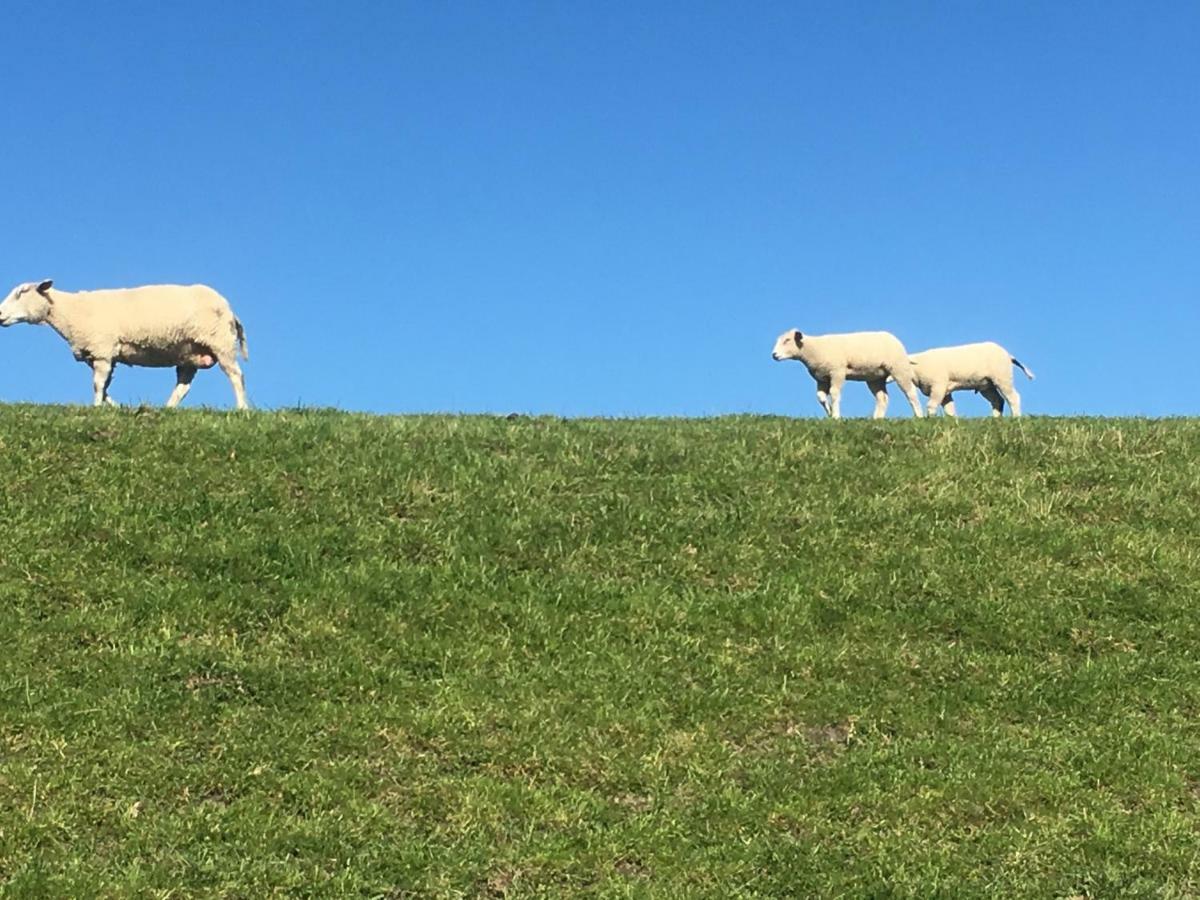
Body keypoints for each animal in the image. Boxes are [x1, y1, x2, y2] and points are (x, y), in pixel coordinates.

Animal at [0, 280, 249, 410]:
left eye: (22, 292)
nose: (0, 314)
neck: (70, 312)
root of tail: (230, 310)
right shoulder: (101, 354)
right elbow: (105, 387)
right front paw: (114, 406)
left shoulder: (102, 350)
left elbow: (98, 385)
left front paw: (96, 408)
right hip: (189, 354)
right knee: (183, 387)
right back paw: (167, 409)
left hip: (220, 343)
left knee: (236, 375)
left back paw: (242, 408)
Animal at [772, 328, 921, 420]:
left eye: (787, 340)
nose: (774, 355)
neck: (813, 350)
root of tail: (892, 337)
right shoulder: (822, 378)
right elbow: (820, 397)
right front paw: (829, 413)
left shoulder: (837, 372)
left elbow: (834, 393)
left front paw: (836, 416)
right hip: (875, 377)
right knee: (882, 398)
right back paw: (877, 419)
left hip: (899, 368)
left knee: (911, 392)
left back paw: (919, 416)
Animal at [902, 340, 1036, 420]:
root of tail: (1008, 355)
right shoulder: (945, 391)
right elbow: (949, 409)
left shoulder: (938, 385)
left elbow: (932, 405)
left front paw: (930, 420)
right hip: (987, 385)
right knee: (998, 400)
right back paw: (995, 419)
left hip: (1002, 377)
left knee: (1013, 397)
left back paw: (1016, 418)